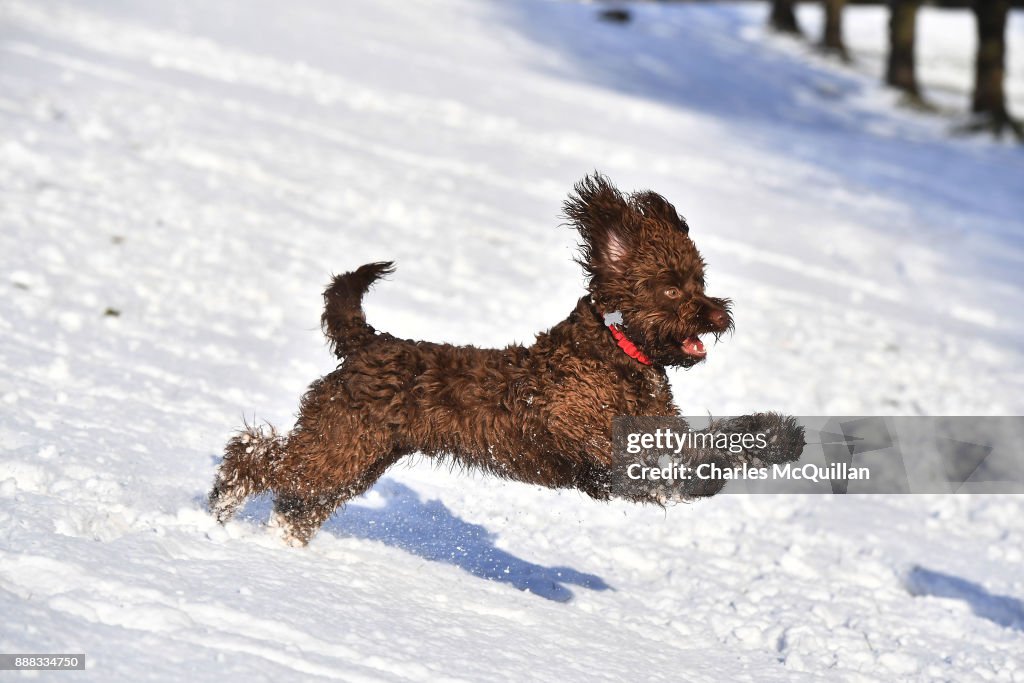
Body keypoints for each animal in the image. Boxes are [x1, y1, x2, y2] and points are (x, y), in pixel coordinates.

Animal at [207, 175, 798, 544]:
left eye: (700, 280)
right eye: (673, 289)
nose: (718, 313)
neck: (615, 350)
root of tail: (368, 342)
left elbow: (718, 439)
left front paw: (778, 435)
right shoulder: (602, 441)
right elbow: (688, 459)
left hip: (362, 456)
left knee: (298, 497)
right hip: (341, 441)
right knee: (258, 458)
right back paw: (222, 505)